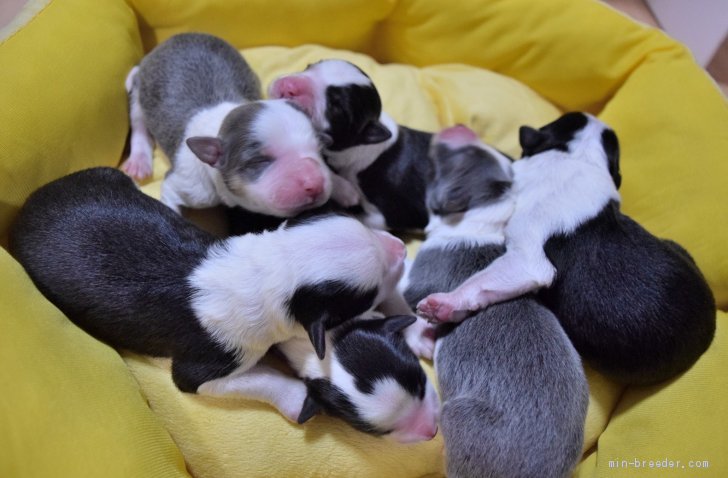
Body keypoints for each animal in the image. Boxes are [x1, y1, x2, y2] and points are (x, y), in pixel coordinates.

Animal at [9, 168, 410, 422]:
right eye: (370, 292)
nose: (402, 248)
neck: (270, 271)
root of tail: (23, 212)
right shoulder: (211, 364)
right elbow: (256, 378)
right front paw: (300, 399)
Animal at [123, 34, 332, 218]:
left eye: (320, 151)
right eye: (259, 161)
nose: (314, 183)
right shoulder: (184, 185)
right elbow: (170, 201)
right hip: (139, 93)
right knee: (138, 123)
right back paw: (139, 162)